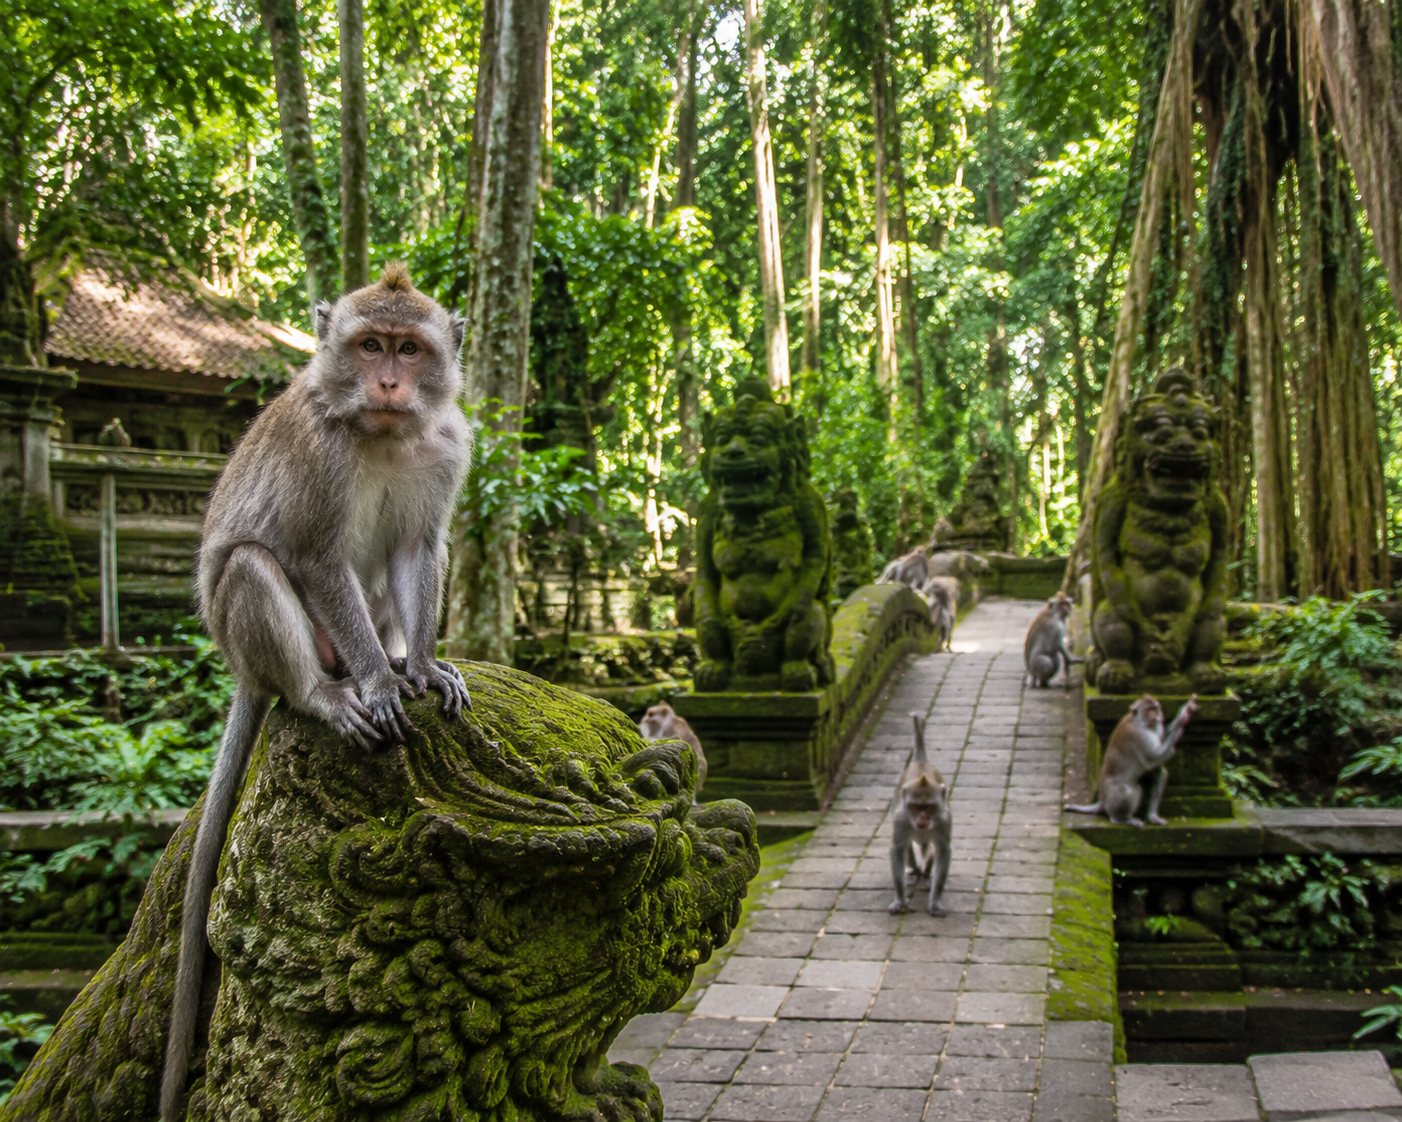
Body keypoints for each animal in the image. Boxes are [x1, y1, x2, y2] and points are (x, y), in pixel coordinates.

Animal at [159, 264, 472, 1122]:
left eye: (408, 348)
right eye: (368, 346)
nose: (390, 382)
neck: (384, 433)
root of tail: (243, 669)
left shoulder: (445, 447)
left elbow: (416, 547)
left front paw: (420, 667)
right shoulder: (316, 453)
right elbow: (316, 557)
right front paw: (381, 683)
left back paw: (395, 654)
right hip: (253, 638)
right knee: (254, 567)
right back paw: (327, 691)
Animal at [888, 713, 952, 915]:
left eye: (929, 807)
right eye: (916, 807)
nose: (923, 818)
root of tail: (920, 761)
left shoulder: (945, 820)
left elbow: (943, 850)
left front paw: (935, 902)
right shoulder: (901, 819)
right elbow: (898, 848)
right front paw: (900, 900)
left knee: (931, 849)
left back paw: (926, 872)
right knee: (908, 847)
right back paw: (913, 870)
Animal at [1066, 694, 1199, 827]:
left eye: (1155, 708)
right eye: (1149, 710)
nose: (1155, 716)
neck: (1141, 722)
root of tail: (1102, 800)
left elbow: (1158, 754)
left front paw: (1184, 714)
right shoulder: (1138, 735)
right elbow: (1153, 757)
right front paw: (1181, 721)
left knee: (1159, 773)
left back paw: (1152, 816)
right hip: (1111, 798)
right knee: (1124, 790)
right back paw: (1121, 819)